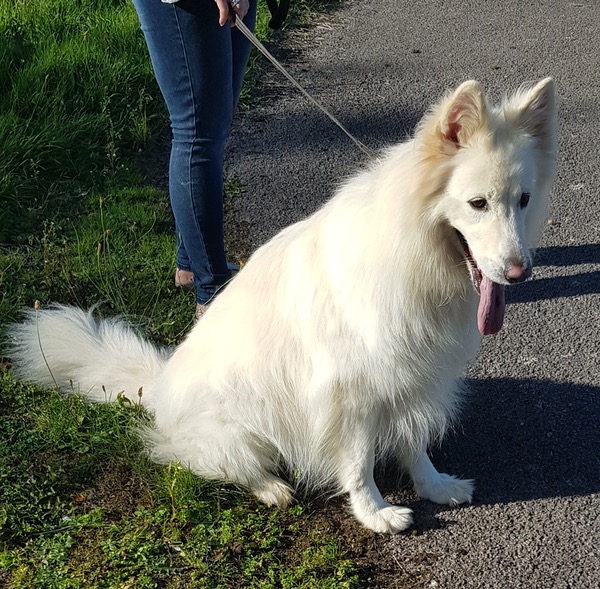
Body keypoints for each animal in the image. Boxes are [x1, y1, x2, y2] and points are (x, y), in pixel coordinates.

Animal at [7, 78, 556, 532]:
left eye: (523, 200)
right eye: (478, 204)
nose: (520, 272)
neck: (413, 252)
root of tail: (157, 386)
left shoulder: (410, 377)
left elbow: (414, 442)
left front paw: (434, 486)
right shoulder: (350, 394)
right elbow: (358, 462)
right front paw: (375, 513)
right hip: (241, 427)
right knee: (216, 464)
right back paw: (270, 487)